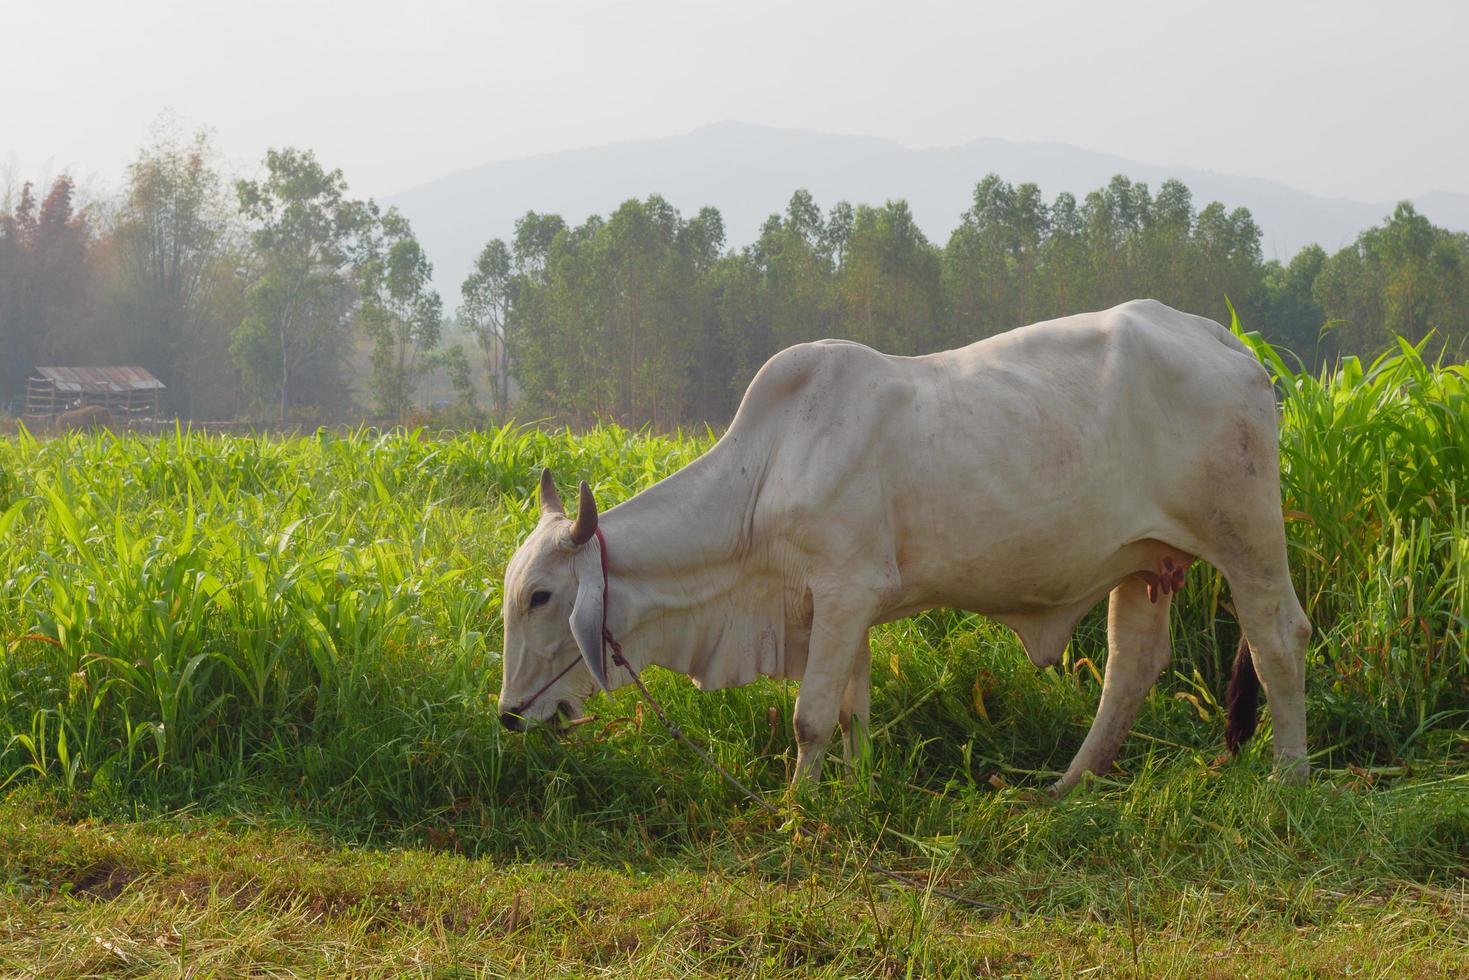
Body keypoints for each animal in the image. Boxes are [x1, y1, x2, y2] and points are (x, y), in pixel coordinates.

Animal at [499, 301, 1316, 799]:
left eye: (542, 595)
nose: (508, 717)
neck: (767, 471)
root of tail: (1223, 340)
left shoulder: (841, 594)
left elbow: (810, 716)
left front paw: (797, 810)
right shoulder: (840, 607)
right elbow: (852, 712)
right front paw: (856, 795)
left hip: (1244, 537)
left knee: (1278, 639)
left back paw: (1287, 780)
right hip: (1145, 563)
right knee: (1131, 669)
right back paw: (1064, 788)